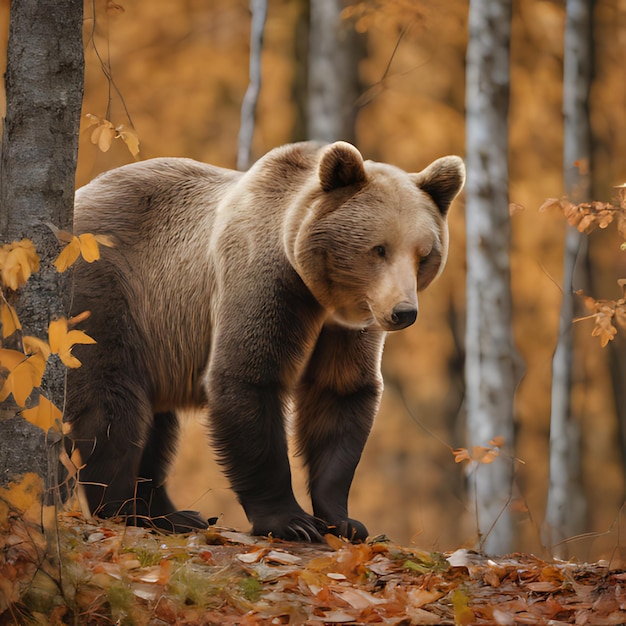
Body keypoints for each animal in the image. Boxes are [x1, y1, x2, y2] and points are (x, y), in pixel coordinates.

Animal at [66, 139, 464, 540]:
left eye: (423, 254)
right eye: (379, 248)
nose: (403, 312)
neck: (321, 293)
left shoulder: (348, 327)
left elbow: (340, 393)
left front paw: (343, 520)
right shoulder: (264, 279)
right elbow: (248, 377)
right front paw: (292, 521)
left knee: (156, 421)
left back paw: (170, 514)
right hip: (111, 289)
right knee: (113, 402)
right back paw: (123, 507)